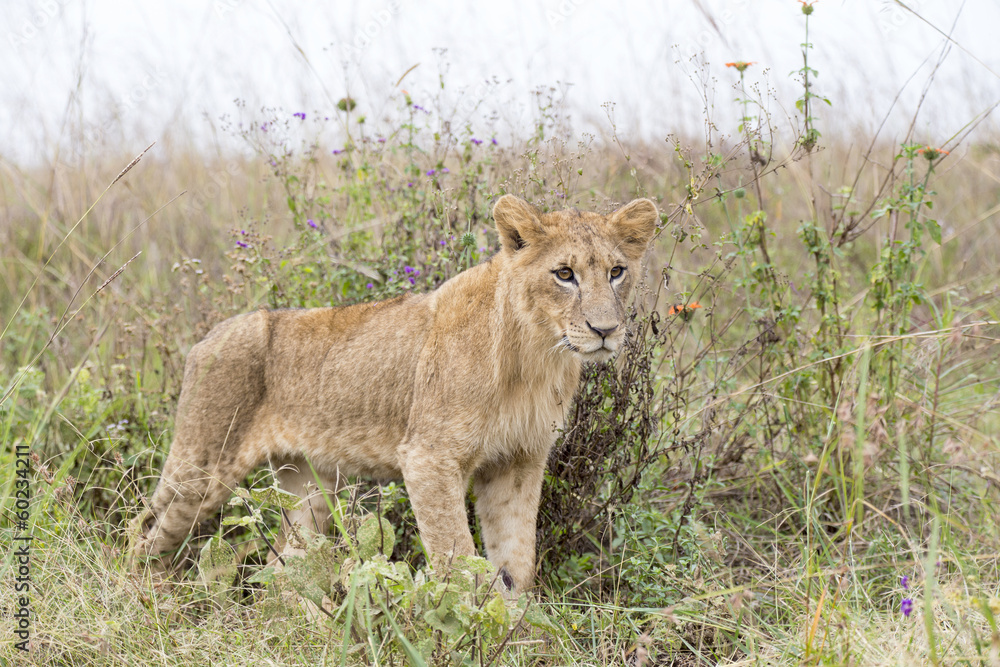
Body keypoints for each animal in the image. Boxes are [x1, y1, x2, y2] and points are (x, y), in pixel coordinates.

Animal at [133, 195, 658, 593]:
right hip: (200, 470)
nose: (605, 330)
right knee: (143, 533)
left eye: (616, 272)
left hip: (311, 485)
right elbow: (458, 559)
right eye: (564, 274)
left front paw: (515, 633)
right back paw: (145, 596)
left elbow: (515, 561)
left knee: (284, 565)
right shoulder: (429, 457)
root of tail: (207, 335)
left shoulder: (519, 461)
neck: (537, 354)